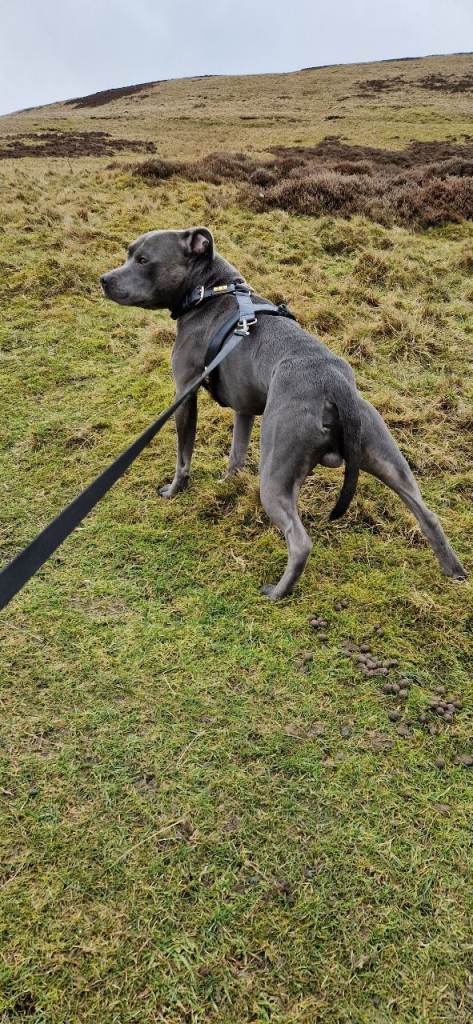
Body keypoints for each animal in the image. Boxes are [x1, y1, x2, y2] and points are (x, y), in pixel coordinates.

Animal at [101, 227, 467, 599]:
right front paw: (228, 483)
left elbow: (183, 455)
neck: (210, 290)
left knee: (300, 541)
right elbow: (236, 452)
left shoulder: (184, 395)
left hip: (276, 474)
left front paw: (174, 491)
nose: (104, 279)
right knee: (427, 514)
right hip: (386, 458)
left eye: (143, 259)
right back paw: (454, 572)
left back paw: (278, 592)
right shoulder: (245, 409)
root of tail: (333, 383)